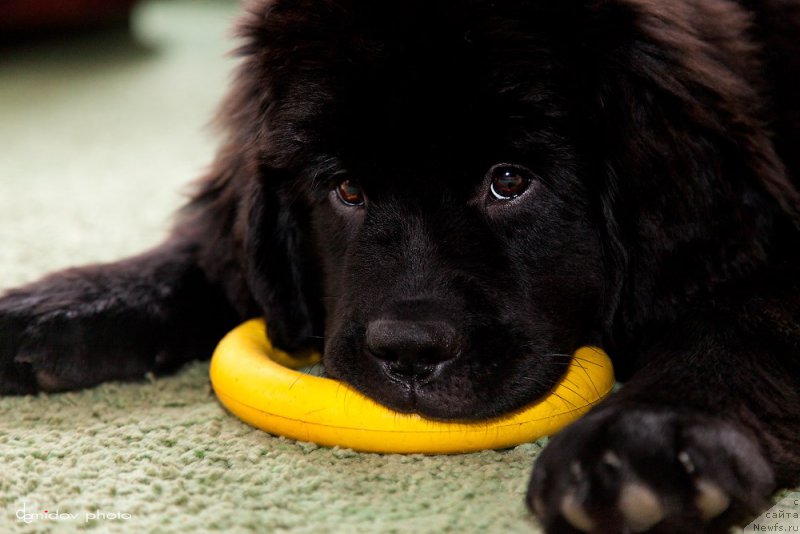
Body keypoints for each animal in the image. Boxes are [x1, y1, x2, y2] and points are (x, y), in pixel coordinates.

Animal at [1, 0, 800, 532]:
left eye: (509, 181)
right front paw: (57, 307)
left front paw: (647, 438)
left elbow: (742, 317)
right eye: (346, 189)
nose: (409, 353)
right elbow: (207, 257)